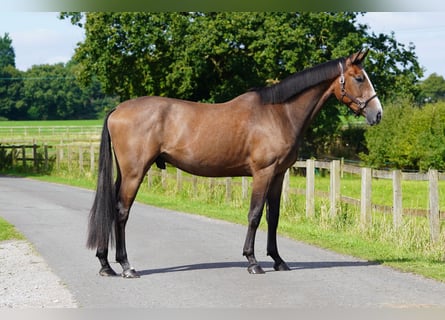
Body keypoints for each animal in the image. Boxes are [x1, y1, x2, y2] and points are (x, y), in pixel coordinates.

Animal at [86, 48, 382, 278]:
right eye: (359, 78)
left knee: (112, 209)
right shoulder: (263, 173)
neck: (279, 113)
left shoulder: (278, 175)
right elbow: (254, 215)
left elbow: (273, 216)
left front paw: (278, 260)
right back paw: (126, 266)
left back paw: (105, 265)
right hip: (134, 173)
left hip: (124, 174)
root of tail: (118, 109)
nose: (377, 114)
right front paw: (252, 262)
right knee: (121, 212)